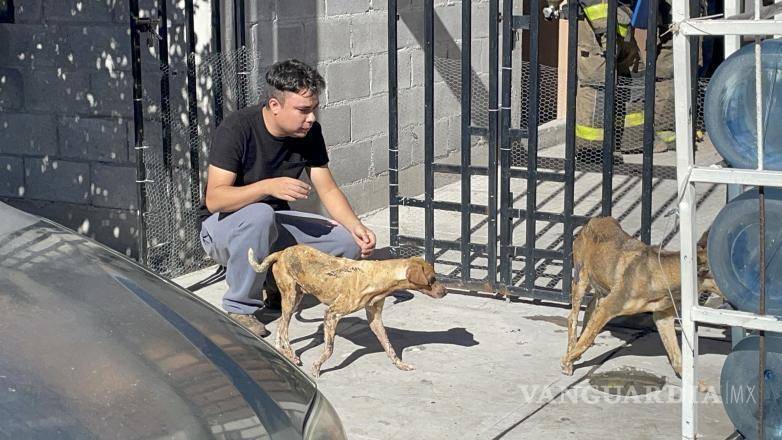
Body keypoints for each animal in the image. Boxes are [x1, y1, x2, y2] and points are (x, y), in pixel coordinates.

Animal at [250, 246, 448, 376]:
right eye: (432, 279)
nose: (445, 291)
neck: (378, 275)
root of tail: (282, 252)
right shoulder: (331, 315)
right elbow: (329, 349)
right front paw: (317, 367)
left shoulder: (375, 320)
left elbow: (389, 347)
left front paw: (401, 365)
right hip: (291, 298)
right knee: (284, 329)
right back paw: (291, 354)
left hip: (294, 300)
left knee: (281, 325)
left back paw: (281, 351)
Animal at [564, 217, 724, 374]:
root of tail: (594, 220)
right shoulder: (607, 307)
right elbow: (585, 341)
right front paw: (567, 362)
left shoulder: (663, 318)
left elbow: (676, 355)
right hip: (582, 278)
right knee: (573, 317)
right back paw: (572, 349)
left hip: (602, 286)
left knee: (590, 306)